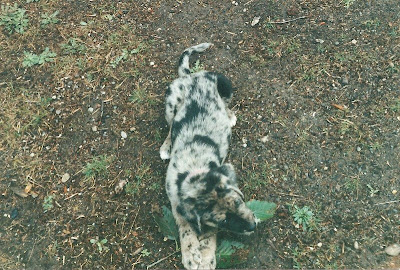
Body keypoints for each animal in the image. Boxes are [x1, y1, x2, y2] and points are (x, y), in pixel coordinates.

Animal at [160, 43, 256, 268]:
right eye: (225, 220)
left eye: (238, 202)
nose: (253, 226)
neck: (195, 166)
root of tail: (192, 76)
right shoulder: (176, 204)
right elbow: (186, 226)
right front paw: (190, 253)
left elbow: (210, 233)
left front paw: (205, 257)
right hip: (170, 101)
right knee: (171, 124)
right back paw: (166, 145)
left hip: (224, 83)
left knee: (225, 103)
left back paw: (229, 116)